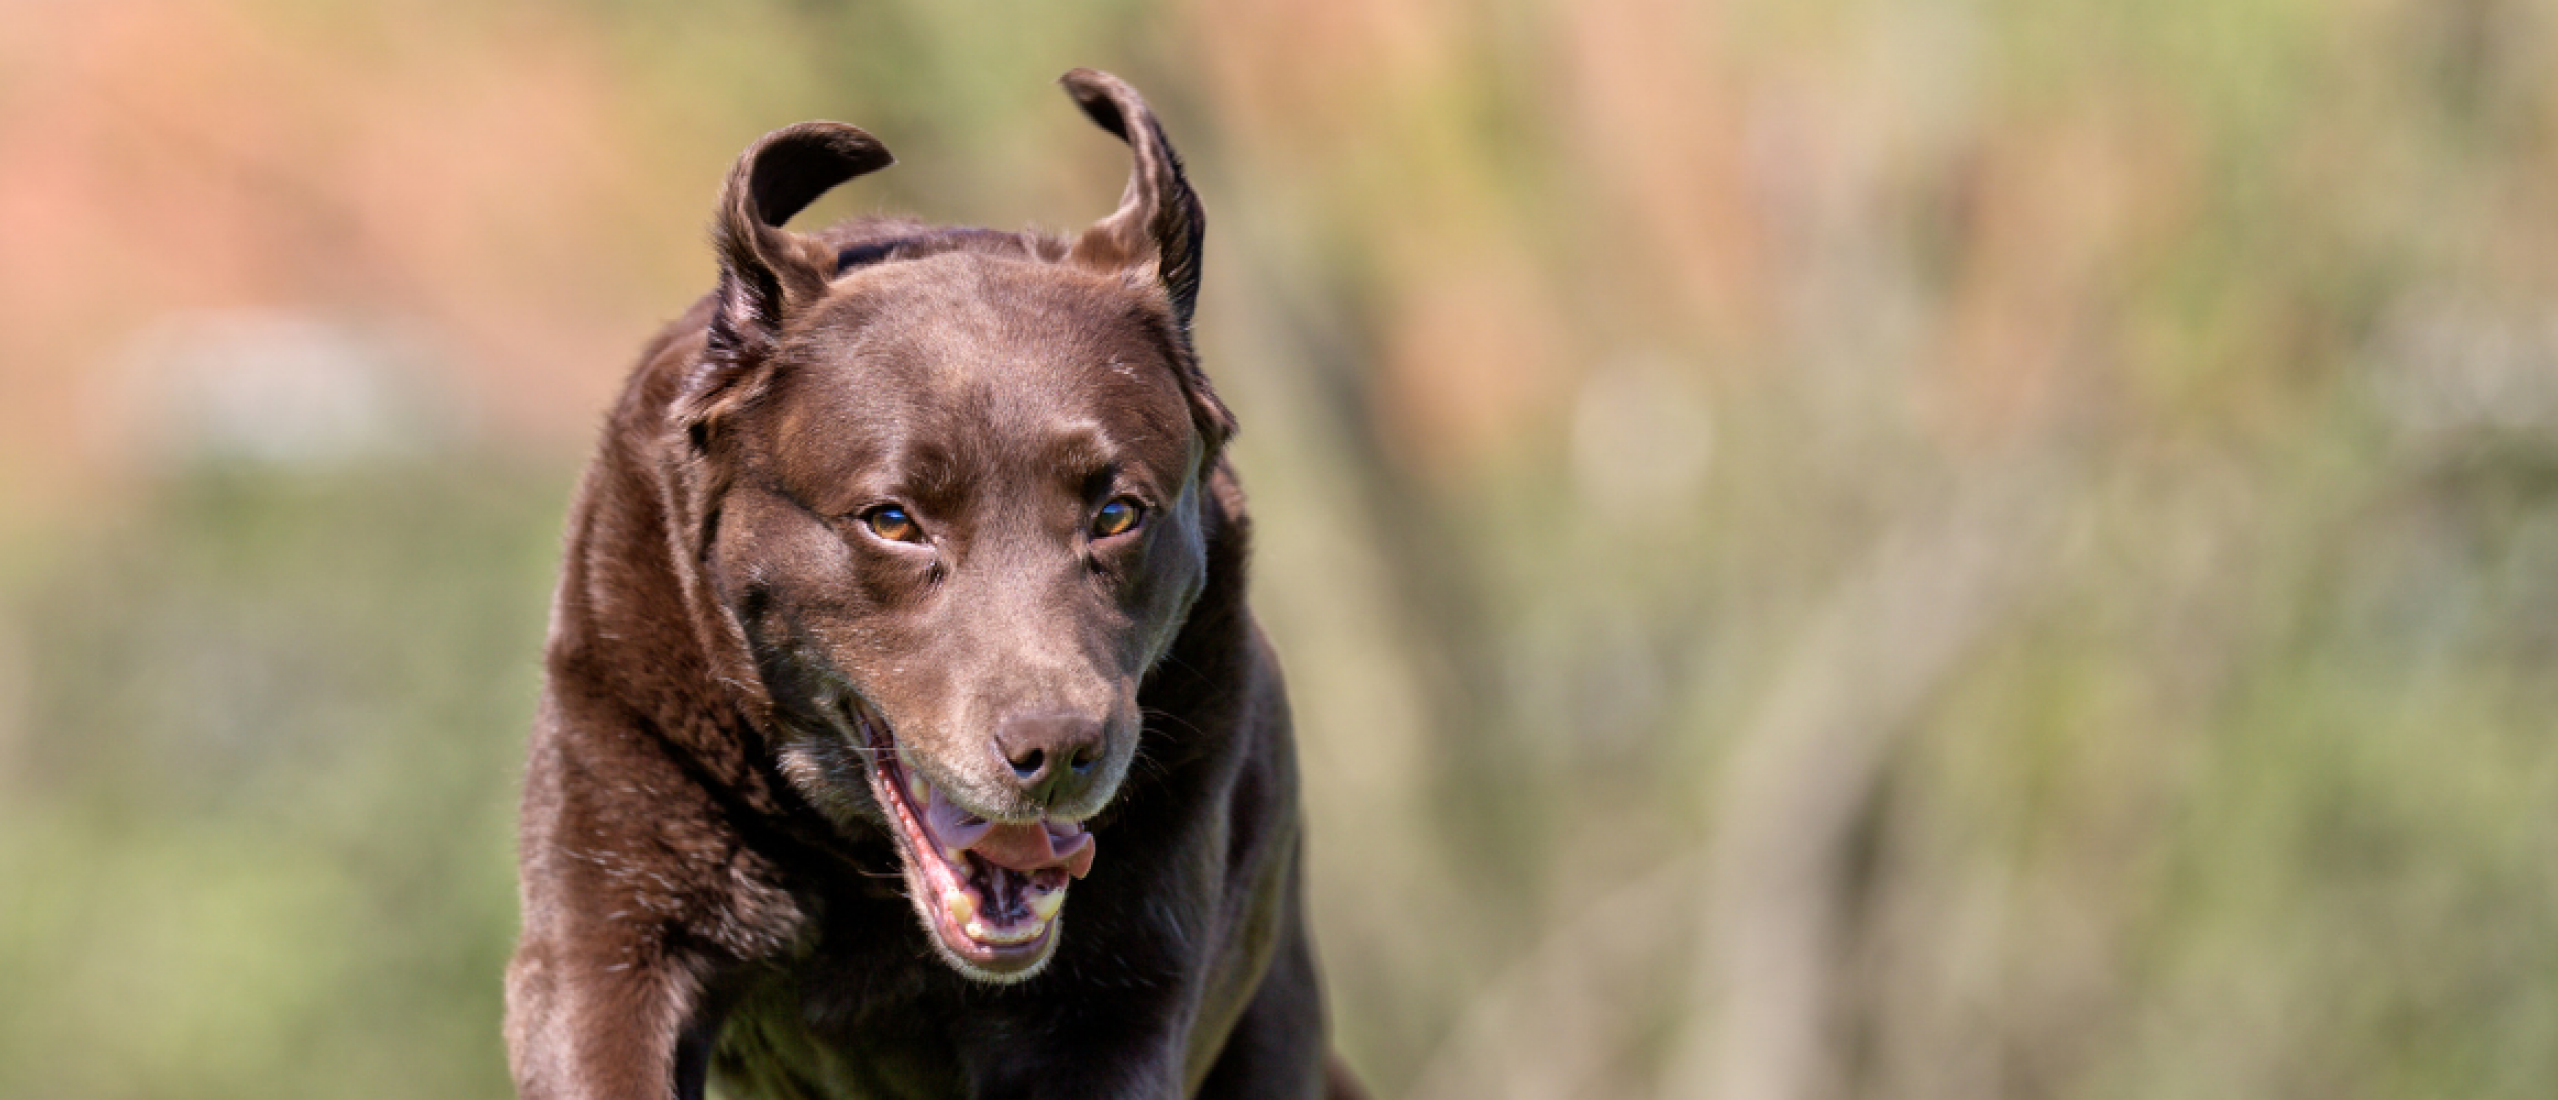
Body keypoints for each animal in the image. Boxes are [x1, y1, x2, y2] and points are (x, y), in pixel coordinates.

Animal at [506, 70, 1360, 1100]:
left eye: (1117, 513)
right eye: (892, 521)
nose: (1059, 749)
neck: (859, 871)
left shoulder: (1111, 1009)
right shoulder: (610, 945)